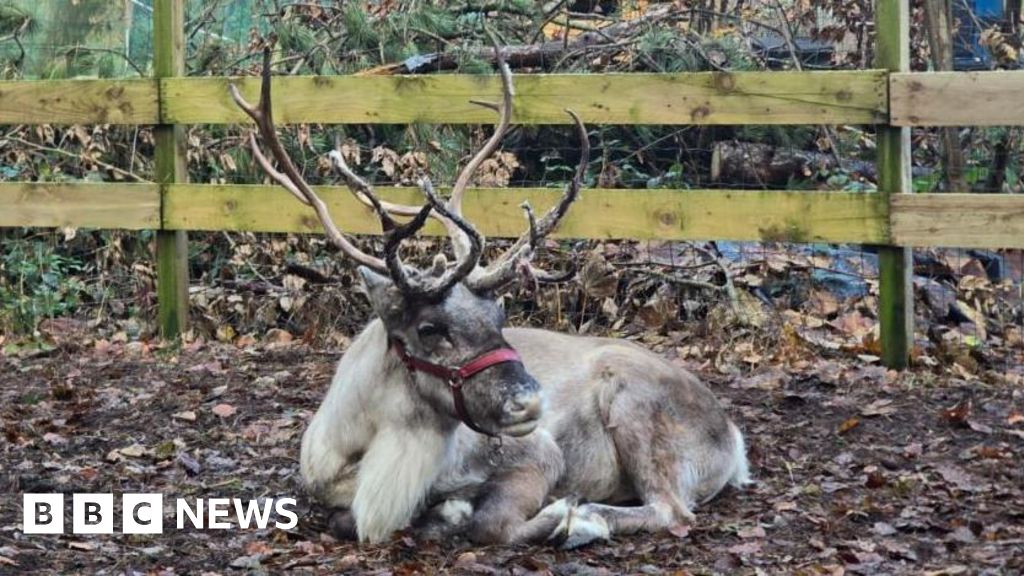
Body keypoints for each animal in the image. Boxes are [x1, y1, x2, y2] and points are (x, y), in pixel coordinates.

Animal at [230, 44, 750, 549]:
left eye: (498, 314)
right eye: (428, 328)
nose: (531, 403)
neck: (359, 457)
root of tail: (733, 438)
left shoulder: (540, 452)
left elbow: (492, 525)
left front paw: (558, 515)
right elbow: (349, 520)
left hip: (635, 407)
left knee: (670, 509)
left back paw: (587, 520)